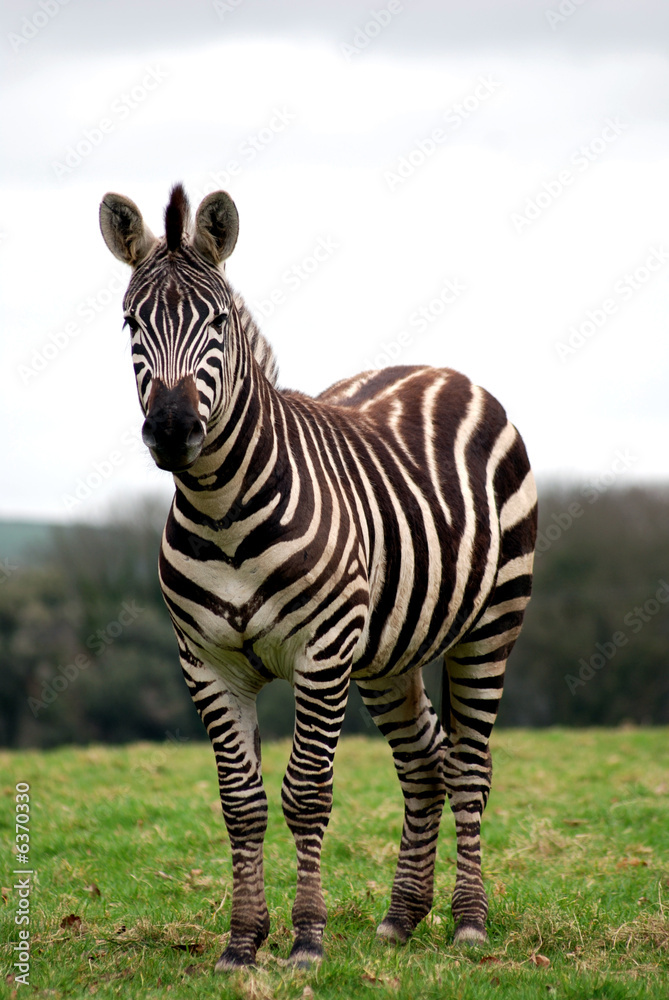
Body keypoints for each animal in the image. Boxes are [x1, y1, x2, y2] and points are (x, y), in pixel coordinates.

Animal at [99, 183, 537, 970]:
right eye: (130, 323)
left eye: (216, 321)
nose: (173, 430)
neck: (221, 510)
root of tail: (441, 371)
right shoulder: (207, 664)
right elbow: (240, 803)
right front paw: (242, 943)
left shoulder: (321, 651)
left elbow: (306, 792)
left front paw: (306, 939)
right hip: (388, 654)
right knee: (424, 762)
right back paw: (401, 917)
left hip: (489, 627)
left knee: (467, 767)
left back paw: (468, 922)